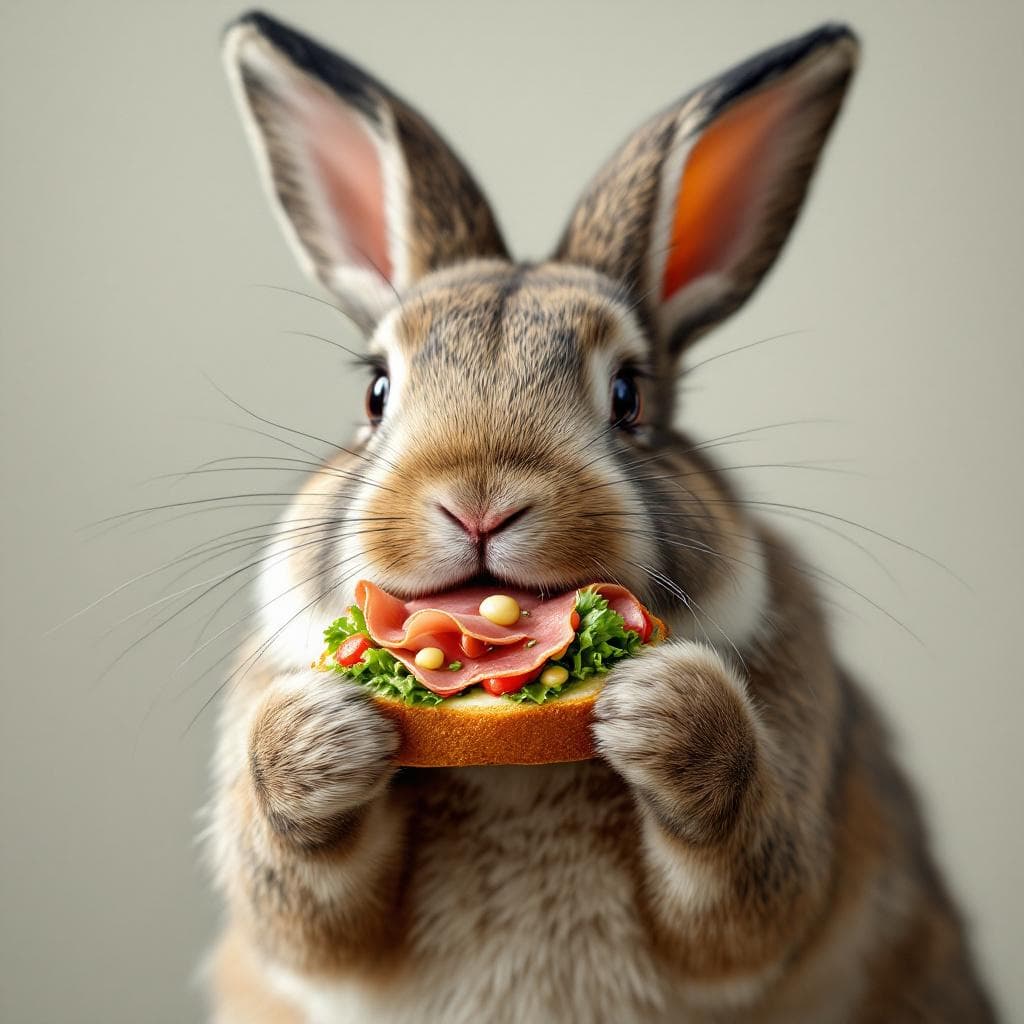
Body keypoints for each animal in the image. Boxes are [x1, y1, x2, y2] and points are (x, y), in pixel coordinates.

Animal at [207, 10, 996, 1023]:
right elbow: (310, 905)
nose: (480, 501)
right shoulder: (313, 932)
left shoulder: (780, 851)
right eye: (376, 391)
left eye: (629, 396)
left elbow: (738, 889)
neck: (512, 768)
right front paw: (318, 735)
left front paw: (661, 710)